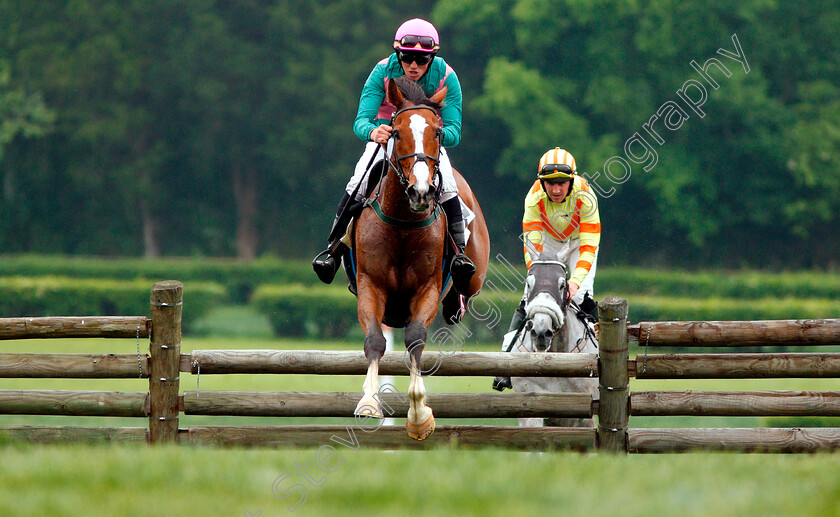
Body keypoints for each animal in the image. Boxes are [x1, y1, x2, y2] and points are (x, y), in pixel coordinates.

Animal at [350, 76, 492, 440]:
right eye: (397, 133)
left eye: (438, 132)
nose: (421, 191)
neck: (404, 220)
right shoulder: (371, 285)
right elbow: (375, 340)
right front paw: (369, 403)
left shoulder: (427, 287)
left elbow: (415, 338)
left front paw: (418, 415)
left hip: (475, 274)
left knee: (465, 288)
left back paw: (456, 304)